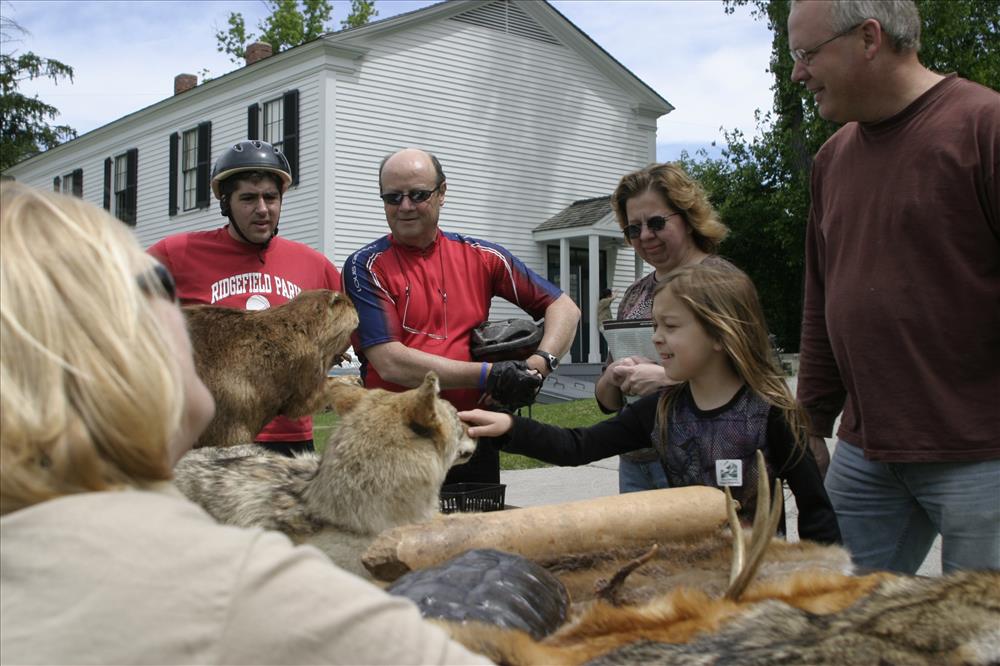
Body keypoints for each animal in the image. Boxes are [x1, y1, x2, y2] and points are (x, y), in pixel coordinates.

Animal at [183, 289, 357, 448]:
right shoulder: (305, 361)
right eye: (347, 303)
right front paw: (352, 379)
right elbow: (304, 401)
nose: (356, 309)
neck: (297, 327)